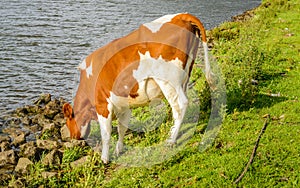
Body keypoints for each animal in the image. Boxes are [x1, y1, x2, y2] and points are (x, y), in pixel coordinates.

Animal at [62, 12, 213, 163]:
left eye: (68, 121)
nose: (72, 138)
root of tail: (180, 16)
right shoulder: (124, 105)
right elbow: (122, 128)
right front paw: (118, 150)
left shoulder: (102, 104)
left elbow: (106, 133)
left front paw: (105, 158)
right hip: (185, 75)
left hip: (169, 80)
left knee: (181, 104)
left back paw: (172, 139)